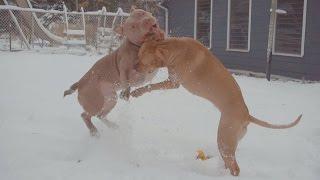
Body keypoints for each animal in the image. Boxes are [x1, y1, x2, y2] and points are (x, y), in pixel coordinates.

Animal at [64, 8, 165, 136]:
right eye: (133, 27)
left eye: (141, 13)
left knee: (100, 115)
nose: (147, 21)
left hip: (110, 99)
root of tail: (80, 83)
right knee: (85, 115)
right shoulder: (126, 70)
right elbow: (127, 79)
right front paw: (126, 92)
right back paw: (94, 132)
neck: (136, 45)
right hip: (94, 102)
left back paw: (113, 127)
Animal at [131, 36, 302, 176]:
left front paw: (137, 92)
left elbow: (150, 87)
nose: (133, 67)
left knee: (235, 169)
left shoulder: (172, 83)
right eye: (137, 55)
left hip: (224, 140)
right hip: (229, 144)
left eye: (141, 59)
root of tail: (246, 115)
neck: (176, 48)